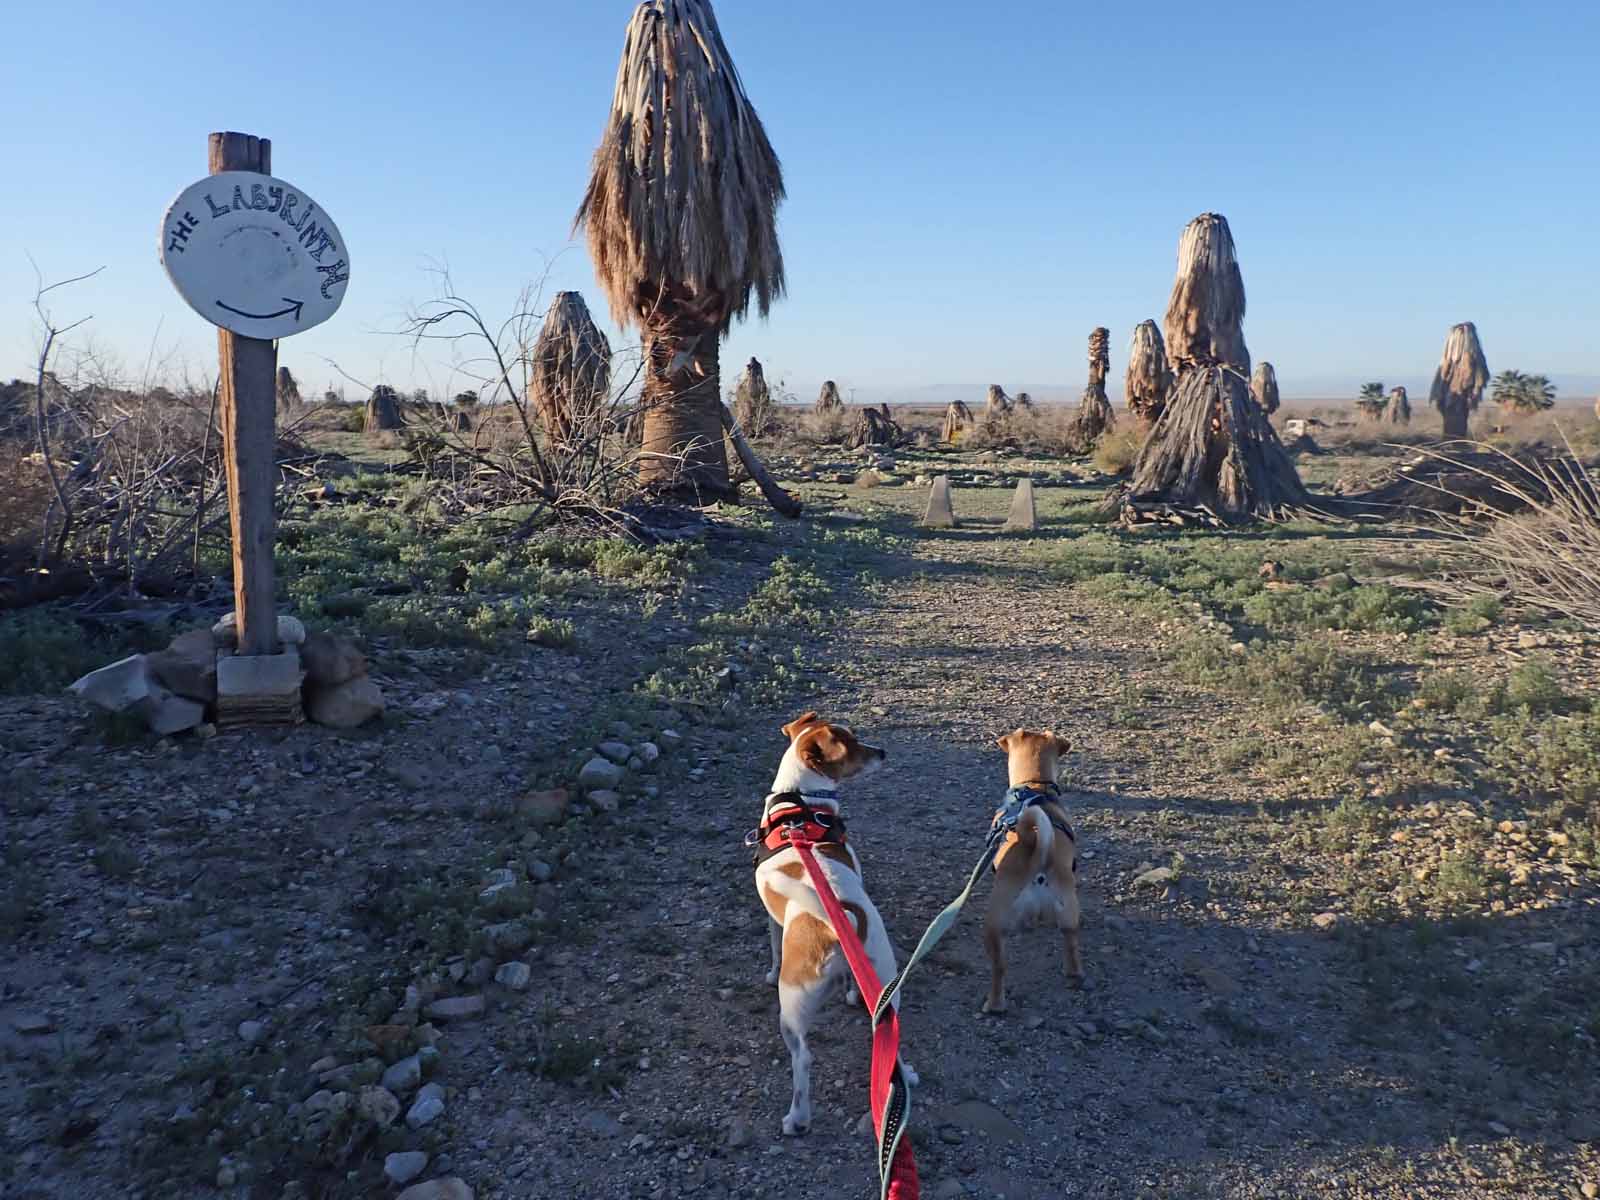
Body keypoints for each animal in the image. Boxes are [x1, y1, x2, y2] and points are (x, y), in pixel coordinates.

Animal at [751, 712, 917, 1135]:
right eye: (851, 745)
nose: (882, 752)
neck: (799, 807)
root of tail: (834, 922)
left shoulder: (771, 920)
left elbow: (773, 949)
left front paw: (768, 972)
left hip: (791, 1009)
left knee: (803, 1060)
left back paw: (797, 1119)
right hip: (884, 988)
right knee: (889, 1041)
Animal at [982, 729, 1083, 1014]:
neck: (1034, 787)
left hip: (992, 925)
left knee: (999, 968)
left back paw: (994, 1005)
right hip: (1069, 916)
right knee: (1072, 949)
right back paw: (1074, 977)